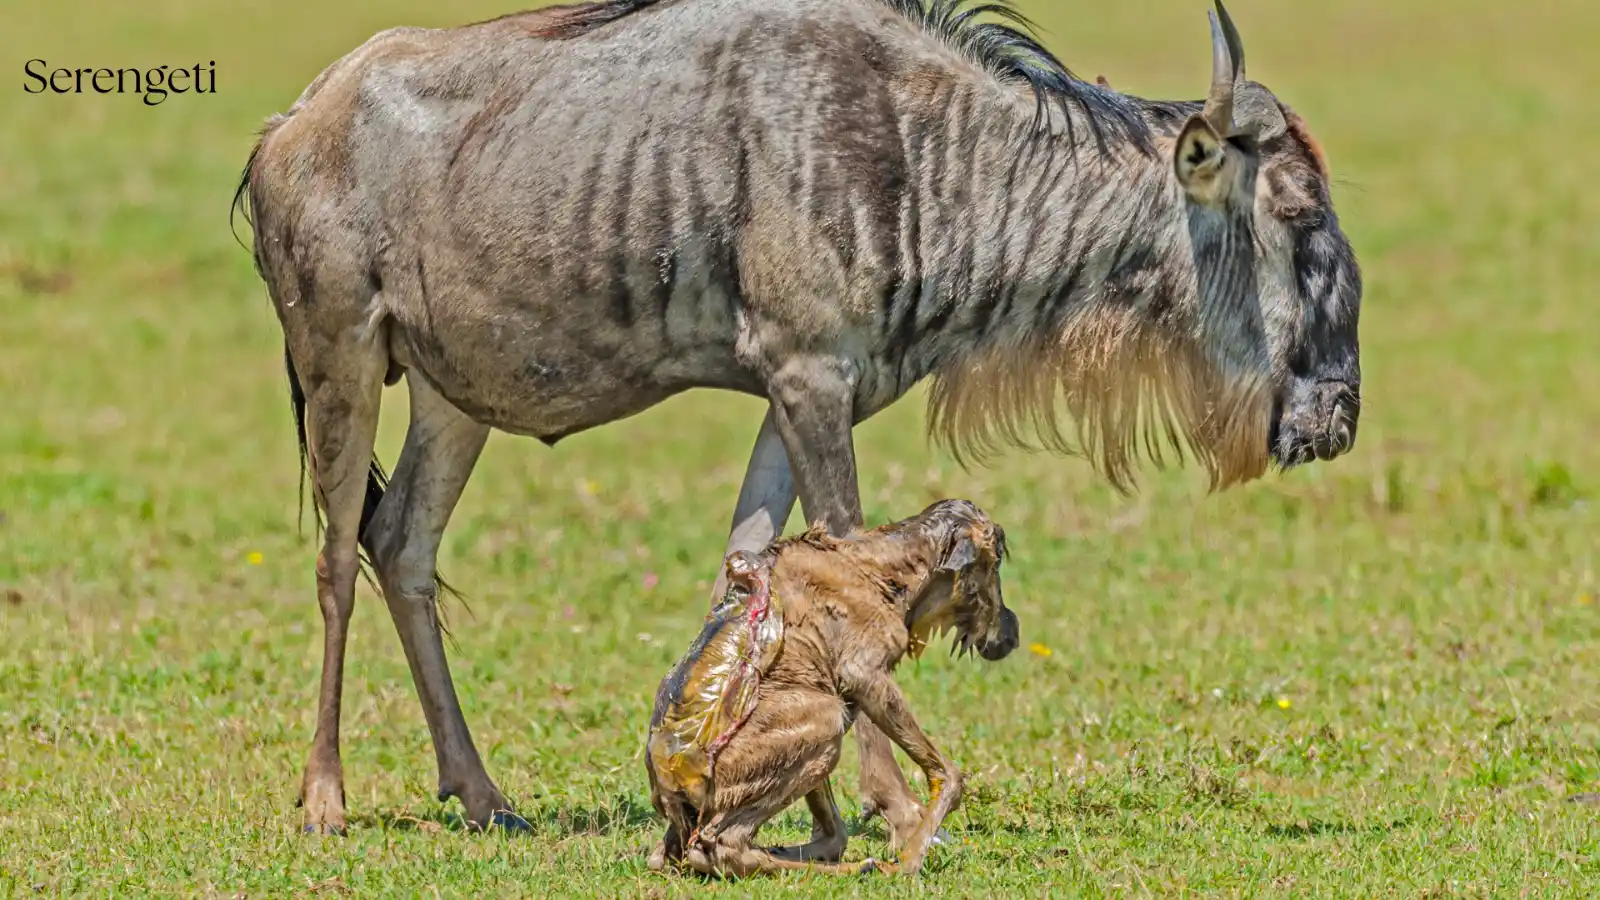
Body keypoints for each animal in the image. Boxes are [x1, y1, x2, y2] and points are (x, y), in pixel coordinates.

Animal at [234, 0, 1363, 840]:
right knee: (336, 561)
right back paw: (326, 800)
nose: (1340, 419)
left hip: (451, 395)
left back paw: (482, 794)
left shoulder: (797, 391)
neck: (928, 155)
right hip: (340, 357)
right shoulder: (810, 378)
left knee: (401, 545)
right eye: (1300, 220)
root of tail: (287, 126)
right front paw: (892, 801)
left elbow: (745, 566)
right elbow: (846, 560)